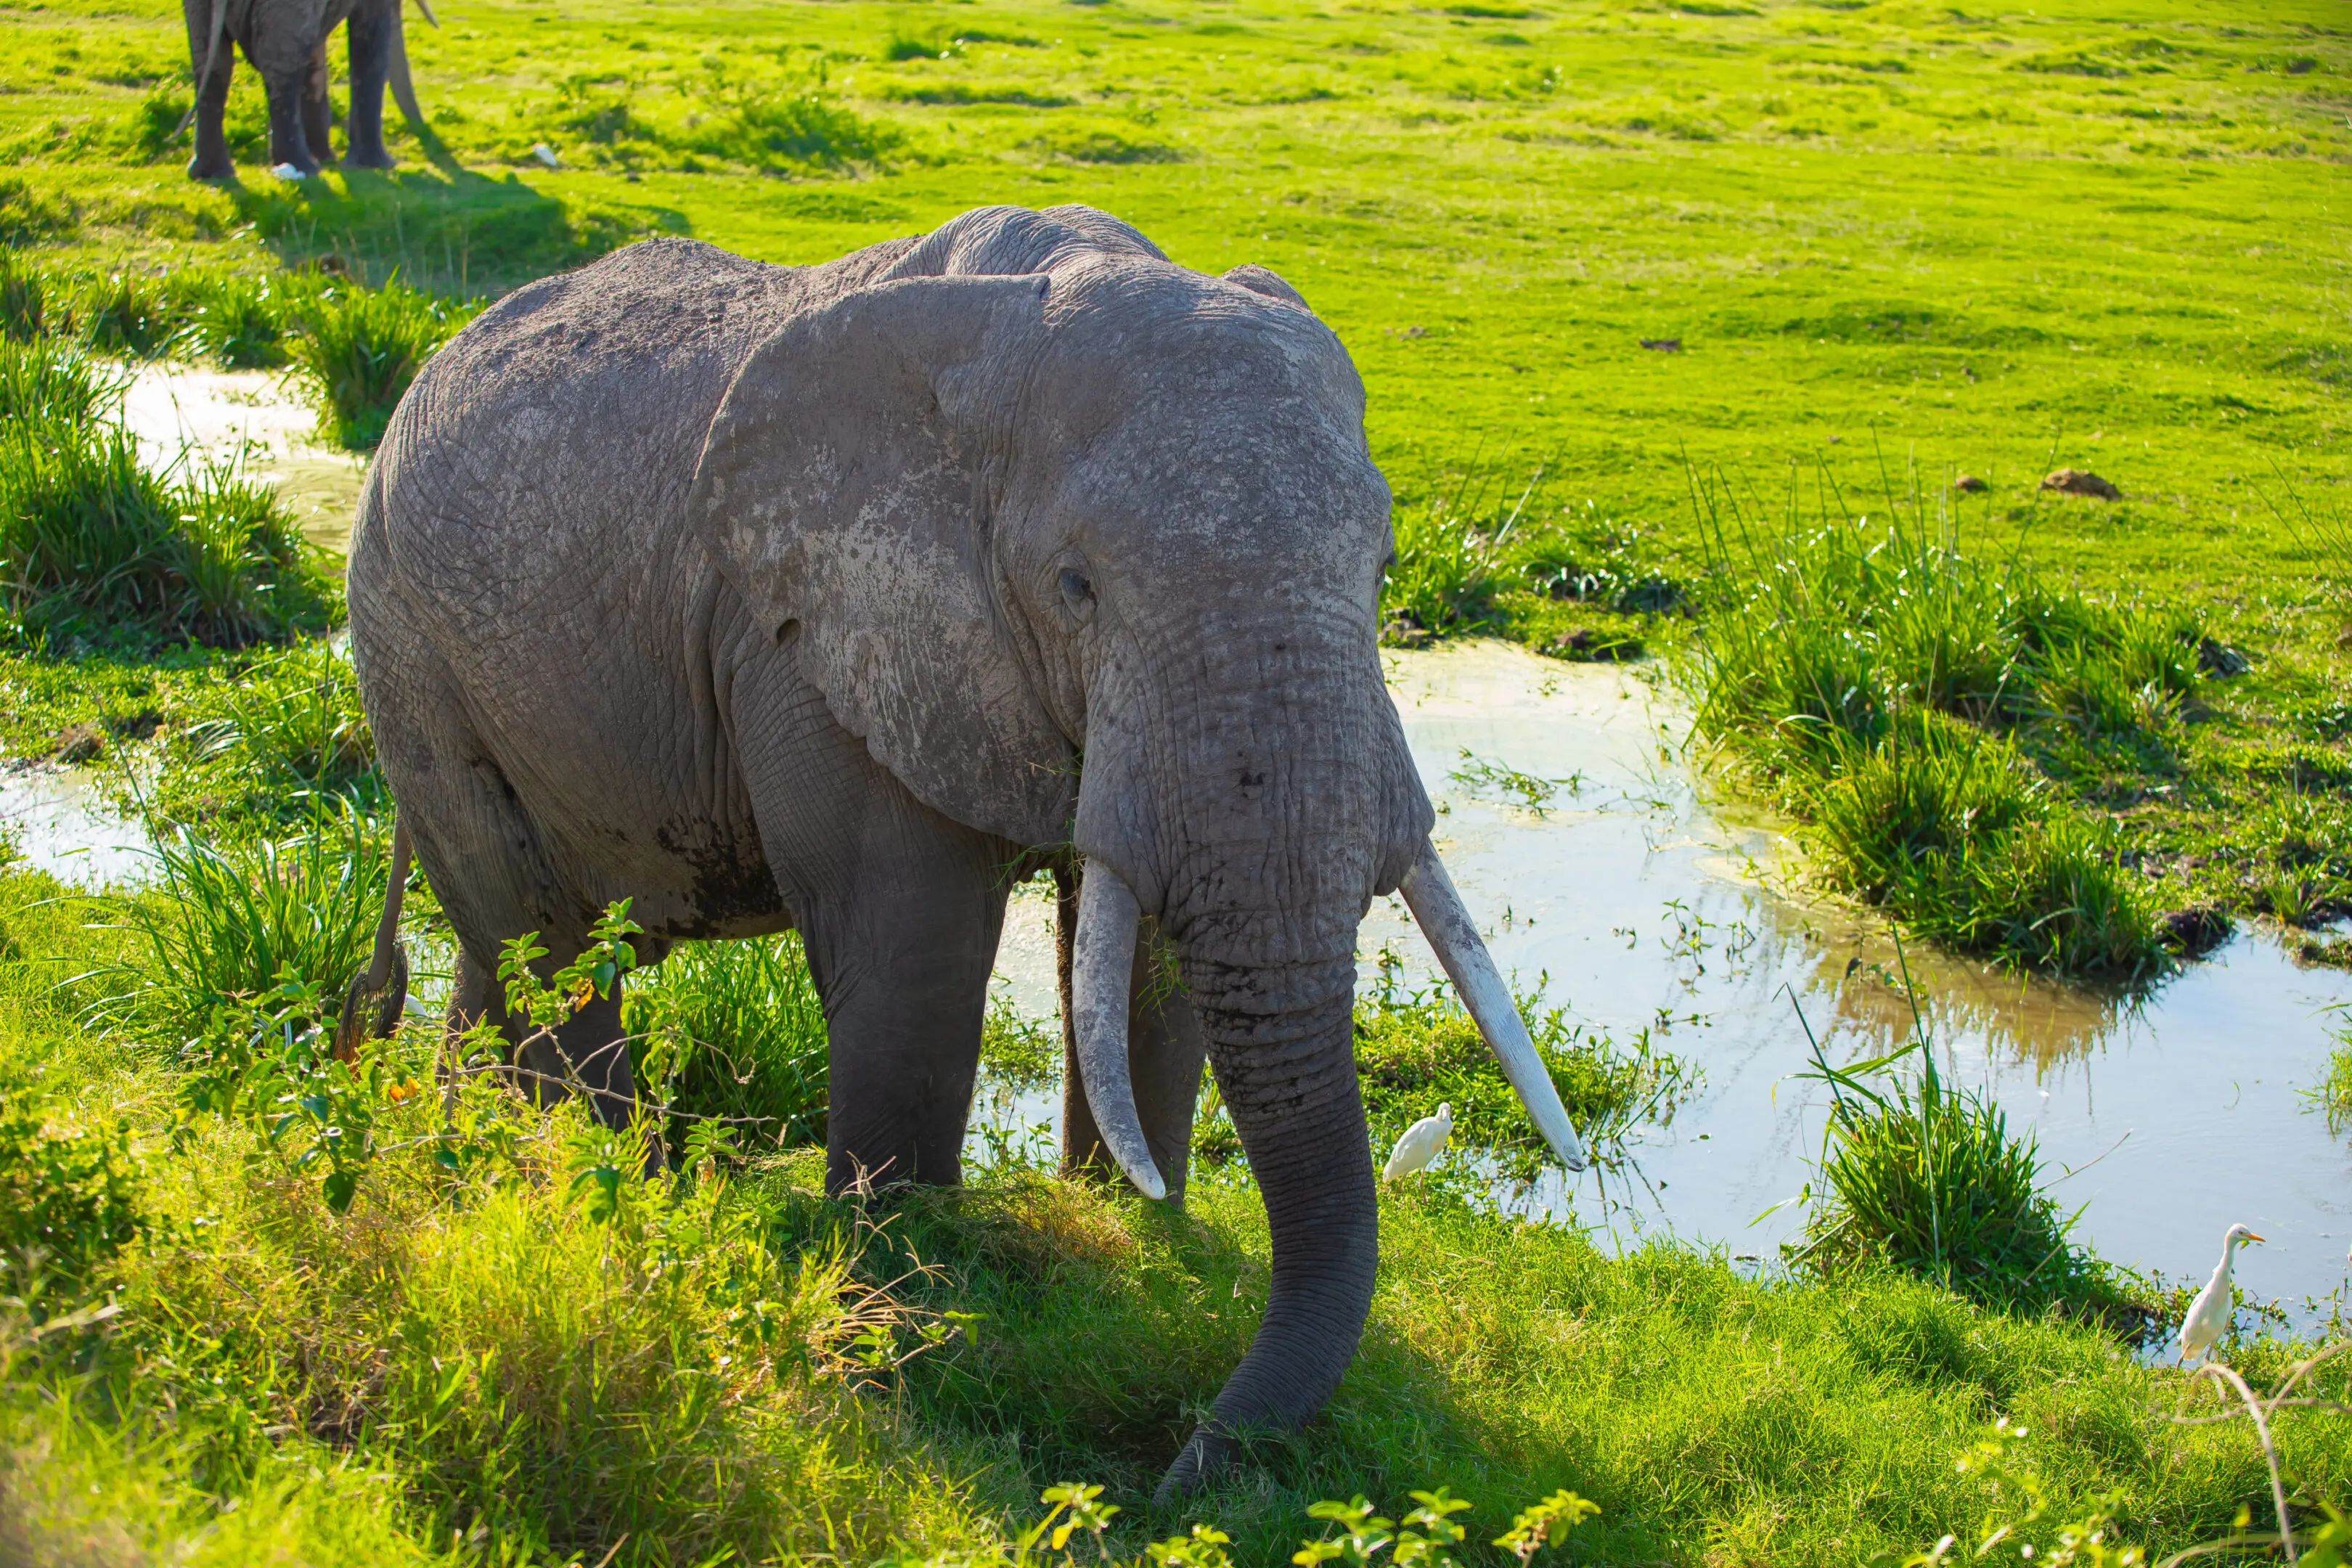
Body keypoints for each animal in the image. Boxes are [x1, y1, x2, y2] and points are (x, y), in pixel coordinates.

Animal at [178, 0, 433, 179]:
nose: (423, 130)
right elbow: (371, 31)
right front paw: (377, 166)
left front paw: (327, 159)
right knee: (284, 66)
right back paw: (304, 170)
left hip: (199, 7)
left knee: (211, 63)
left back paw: (212, 175)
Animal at [339, 204, 1587, 1497]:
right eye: (1075, 585)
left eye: (1384, 570)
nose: (1173, 1476)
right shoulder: (812, 631)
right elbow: (916, 945)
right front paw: (905, 1285)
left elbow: (1145, 946)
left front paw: (1131, 1230)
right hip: (407, 647)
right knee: (551, 951)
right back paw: (597, 1193)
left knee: (503, 953)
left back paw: (465, 1160)